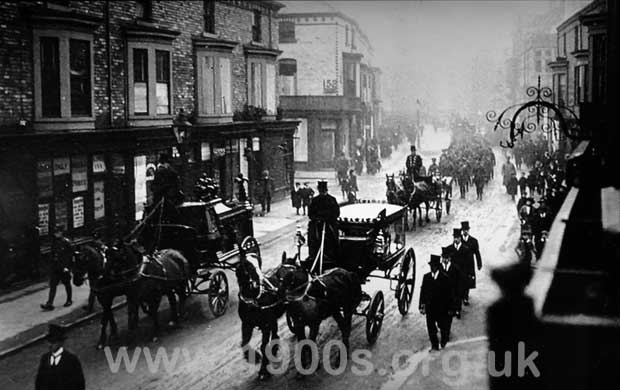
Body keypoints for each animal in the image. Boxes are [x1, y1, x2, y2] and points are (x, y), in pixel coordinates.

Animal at [235, 251, 288, 380]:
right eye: (247, 265)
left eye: (259, 261)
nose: (260, 281)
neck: (253, 300)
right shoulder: (246, 324)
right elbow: (244, 342)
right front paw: (253, 357)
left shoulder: (265, 325)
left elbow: (263, 346)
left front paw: (263, 371)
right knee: (275, 333)